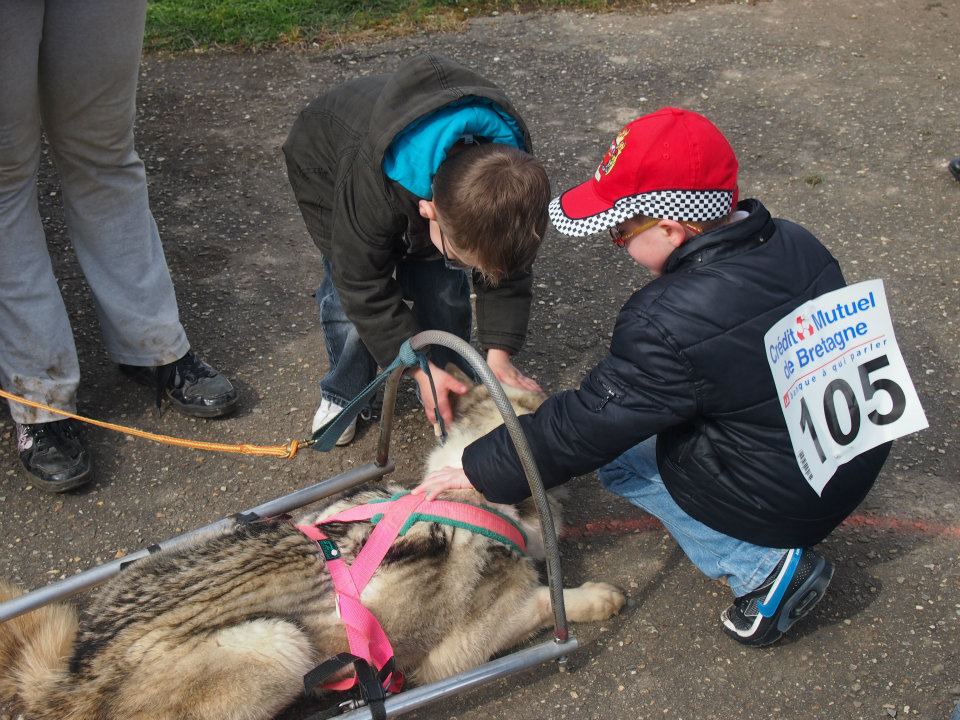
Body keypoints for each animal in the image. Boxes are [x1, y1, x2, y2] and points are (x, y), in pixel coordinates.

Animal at [0, 380, 628, 716]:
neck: (458, 493)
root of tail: (73, 677)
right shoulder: (463, 648)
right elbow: (544, 603)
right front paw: (597, 598)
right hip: (280, 644)